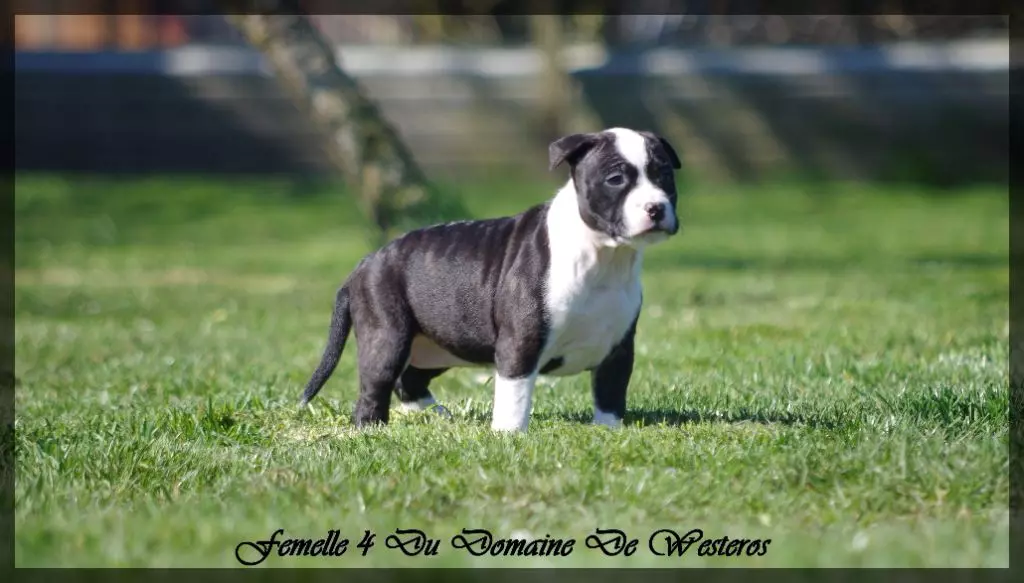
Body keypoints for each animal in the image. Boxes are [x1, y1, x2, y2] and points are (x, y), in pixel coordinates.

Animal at [299, 127, 681, 432]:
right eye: (616, 179)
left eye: (664, 175)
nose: (656, 207)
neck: (604, 254)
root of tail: (366, 263)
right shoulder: (521, 343)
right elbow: (515, 395)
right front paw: (508, 435)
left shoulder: (618, 347)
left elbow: (610, 395)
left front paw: (608, 432)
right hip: (387, 337)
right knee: (376, 386)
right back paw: (371, 429)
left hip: (438, 344)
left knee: (409, 380)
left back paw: (436, 415)